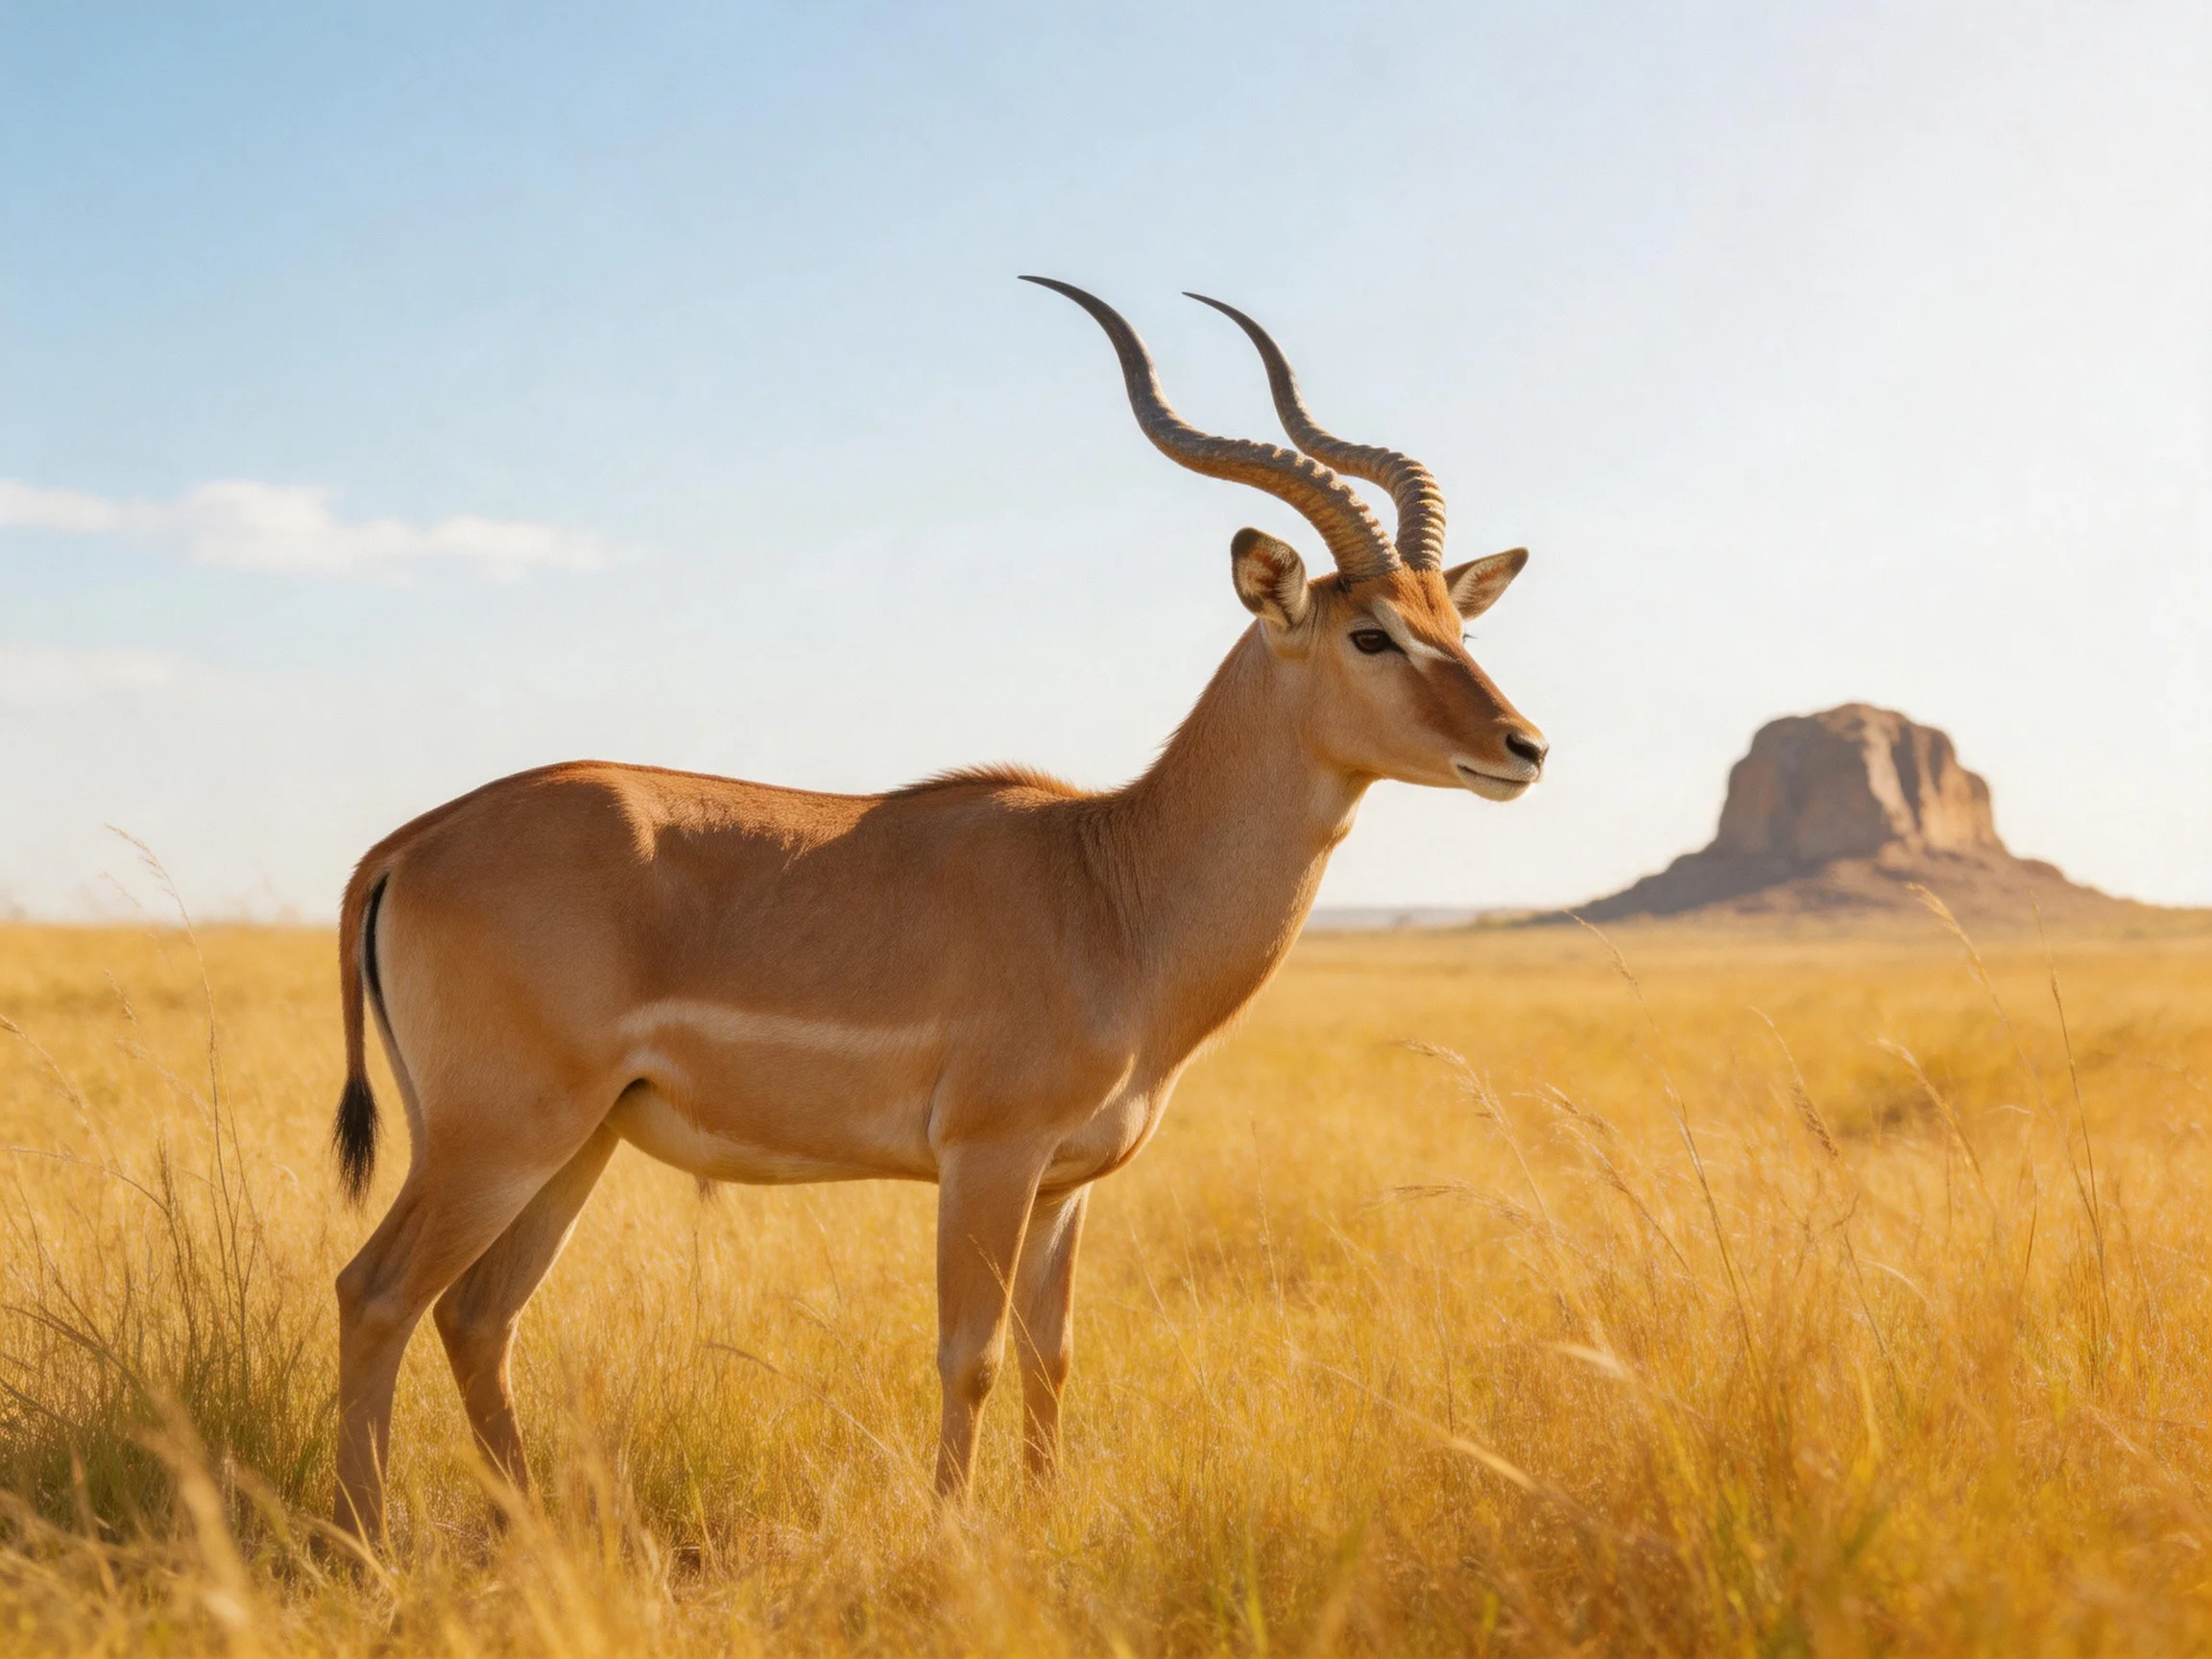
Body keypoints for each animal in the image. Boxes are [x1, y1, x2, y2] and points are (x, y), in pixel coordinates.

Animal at [327, 279, 1547, 1540]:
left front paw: (1045, 1517)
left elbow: (1052, 1354)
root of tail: (412, 841)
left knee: (477, 1313)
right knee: (376, 1294)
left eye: (1458, 628)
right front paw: (954, 1532)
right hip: (499, 1137)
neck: (1113, 886)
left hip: (573, 1144)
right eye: (1371, 632)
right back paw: (367, 1543)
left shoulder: (1065, 1186)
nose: (1525, 747)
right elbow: (971, 1354)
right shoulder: (987, 1159)